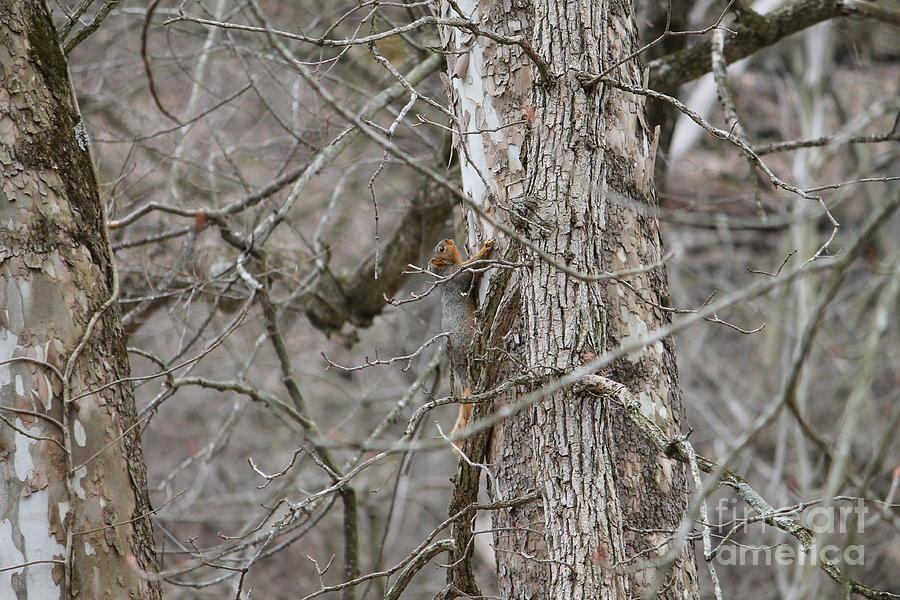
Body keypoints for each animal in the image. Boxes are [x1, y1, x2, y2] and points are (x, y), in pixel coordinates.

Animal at [428, 237, 496, 442]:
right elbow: (474, 264)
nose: (448, 239)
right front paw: (485, 248)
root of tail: (457, 361)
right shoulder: (460, 275)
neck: (445, 272)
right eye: (441, 248)